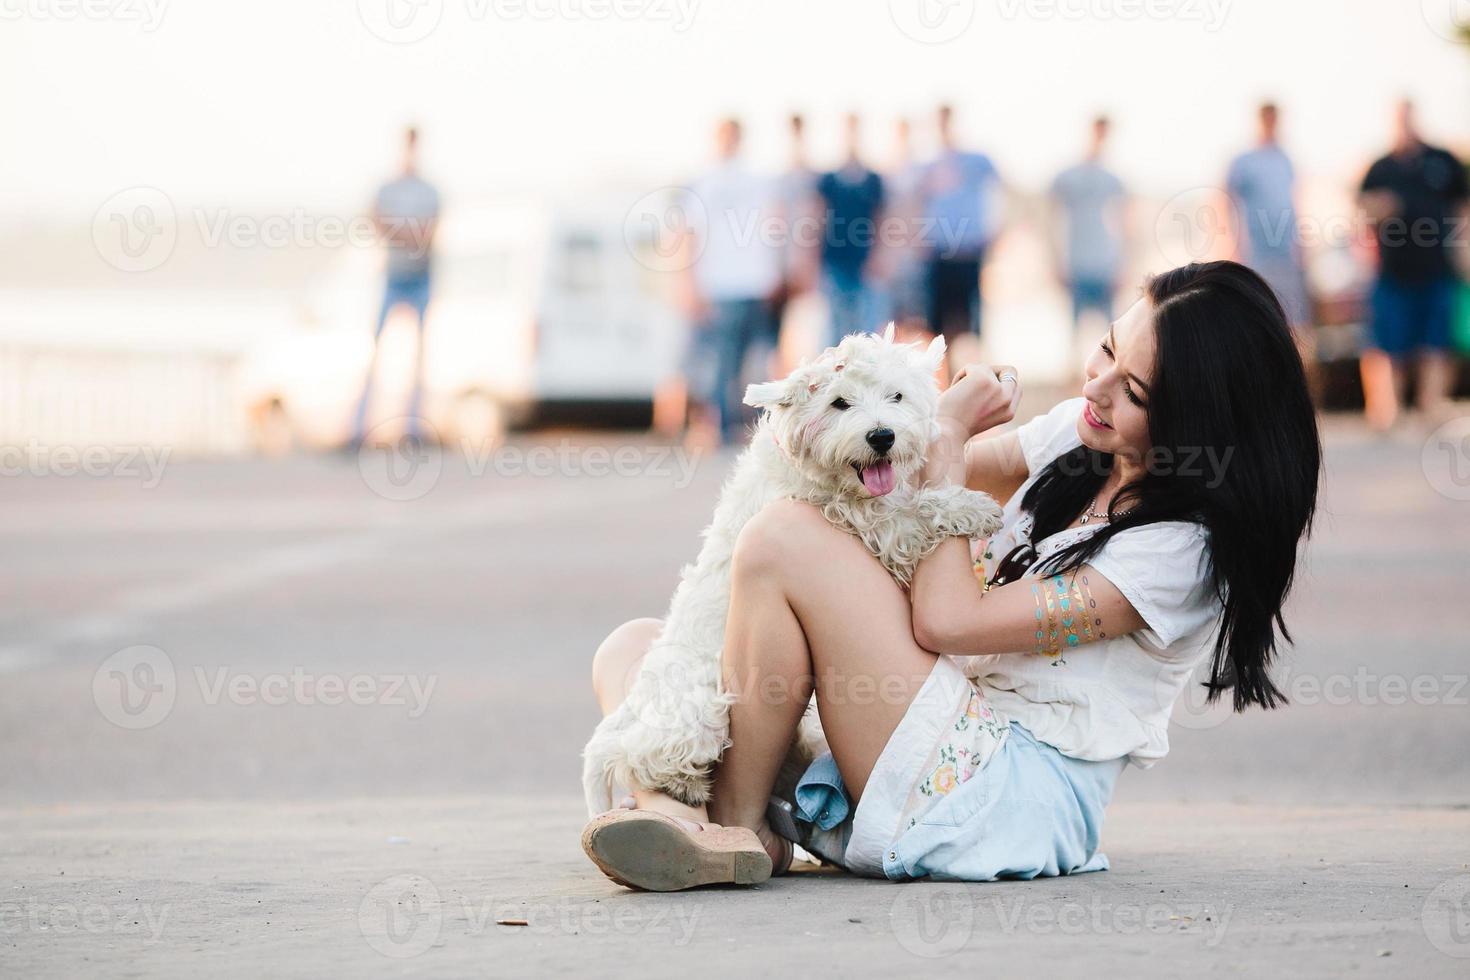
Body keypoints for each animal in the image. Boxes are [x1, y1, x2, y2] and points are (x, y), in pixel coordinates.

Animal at [579, 326, 1005, 816]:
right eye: (839, 403)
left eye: (896, 395)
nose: (882, 436)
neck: (827, 477)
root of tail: (637, 700)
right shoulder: (874, 526)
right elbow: (915, 510)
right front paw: (974, 508)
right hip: (700, 711)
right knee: (635, 755)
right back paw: (686, 786)